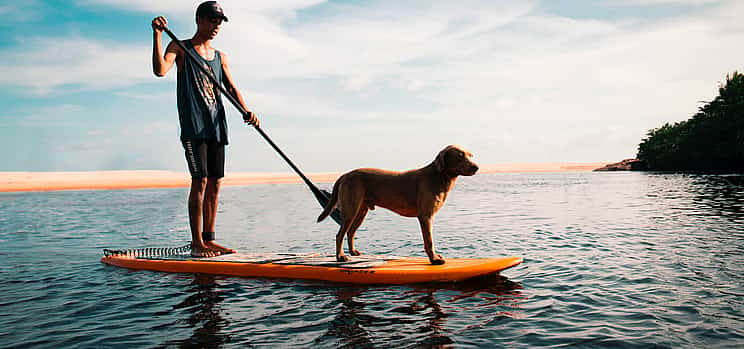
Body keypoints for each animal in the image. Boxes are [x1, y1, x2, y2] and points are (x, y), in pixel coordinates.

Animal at [316, 144, 480, 264]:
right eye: (460, 156)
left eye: (470, 155)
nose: (476, 167)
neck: (439, 177)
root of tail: (346, 174)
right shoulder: (425, 216)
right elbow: (429, 241)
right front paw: (434, 259)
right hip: (351, 209)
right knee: (340, 234)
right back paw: (340, 257)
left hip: (361, 211)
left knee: (350, 232)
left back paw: (353, 252)